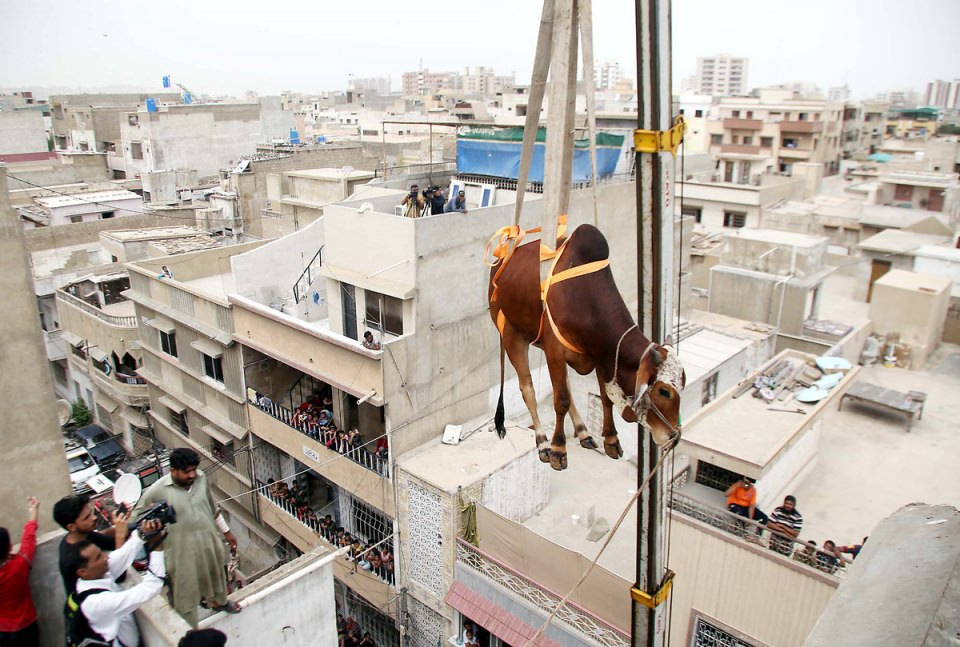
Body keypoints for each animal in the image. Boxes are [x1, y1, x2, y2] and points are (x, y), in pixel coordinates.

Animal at [488, 224, 684, 470]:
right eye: (664, 391)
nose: (673, 437)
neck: (587, 305)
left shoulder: (602, 356)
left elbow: (603, 398)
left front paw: (611, 439)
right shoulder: (555, 351)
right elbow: (560, 400)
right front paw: (558, 449)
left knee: (566, 388)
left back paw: (583, 432)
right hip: (513, 336)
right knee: (528, 389)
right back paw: (542, 442)